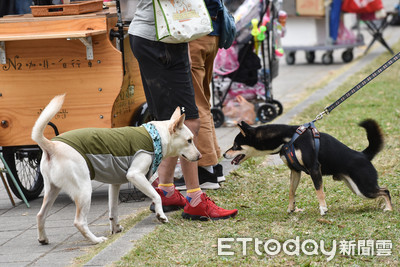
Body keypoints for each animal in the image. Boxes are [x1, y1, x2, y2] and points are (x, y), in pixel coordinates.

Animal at [31, 94, 202, 245]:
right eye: (189, 140)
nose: (200, 156)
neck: (156, 137)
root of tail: (51, 146)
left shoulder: (114, 184)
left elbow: (113, 211)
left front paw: (115, 228)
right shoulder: (135, 175)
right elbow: (157, 196)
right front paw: (161, 215)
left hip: (52, 190)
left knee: (40, 215)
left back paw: (43, 239)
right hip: (84, 190)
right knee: (79, 222)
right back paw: (96, 240)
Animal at [223, 120, 392, 216]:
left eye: (236, 146)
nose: (224, 154)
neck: (288, 139)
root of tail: (363, 155)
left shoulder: (314, 168)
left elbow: (319, 191)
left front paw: (323, 209)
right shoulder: (295, 171)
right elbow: (291, 191)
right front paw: (291, 208)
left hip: (364, 188)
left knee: (385, 191)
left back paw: (388, 208)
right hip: (357, 188)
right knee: (383, 190)